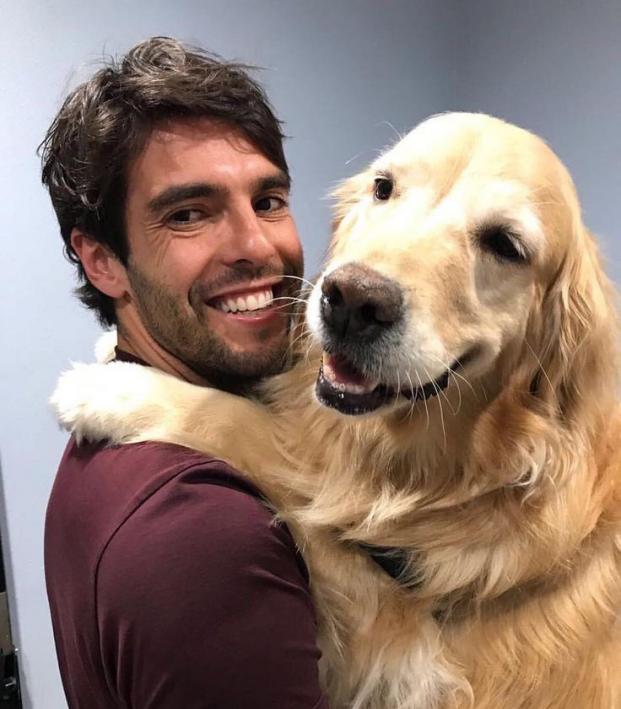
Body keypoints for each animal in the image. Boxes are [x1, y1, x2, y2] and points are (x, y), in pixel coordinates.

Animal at [54, 113, 620, 704]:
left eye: (505, 245)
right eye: (383, 187)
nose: (351, 301)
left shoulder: (408, 651)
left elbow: (248, 429)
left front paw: (112, 390)